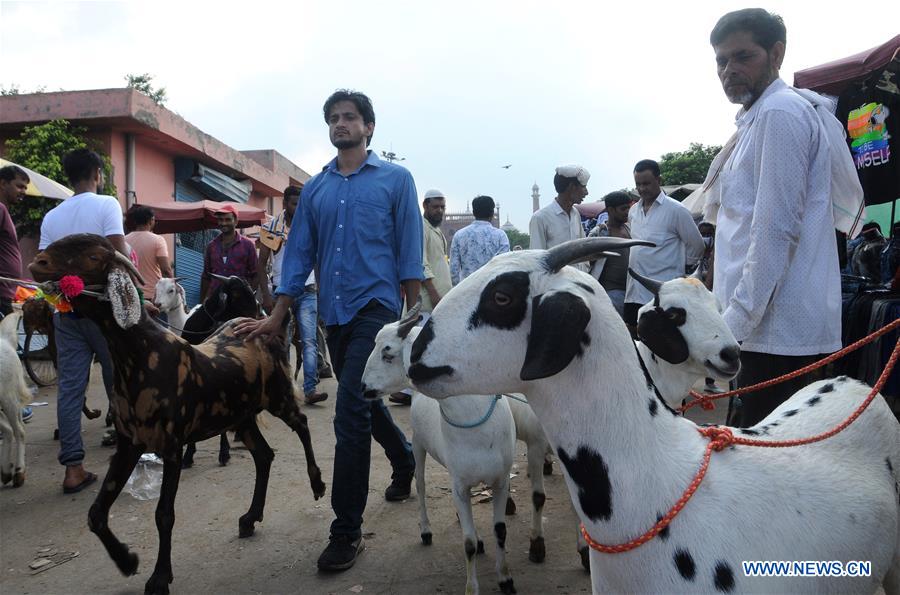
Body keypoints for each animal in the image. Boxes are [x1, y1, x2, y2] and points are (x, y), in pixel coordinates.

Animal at [30, 235, 326, 595]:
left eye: (93, 256)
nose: (39, 263)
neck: (143, 354)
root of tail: (260, 325)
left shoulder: (170, 444)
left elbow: (164, 514)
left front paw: (159, 577)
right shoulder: (130, 442)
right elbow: (96, 513)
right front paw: (127, 561)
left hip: (278, 396)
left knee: (302, 424)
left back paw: (317, 483)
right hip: (240, 416)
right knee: (264, 455)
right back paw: (250, 517)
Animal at [362, 308, 516, 595]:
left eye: (388, 353)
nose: (363, 388)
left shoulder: (500, 481)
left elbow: (500, 531)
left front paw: (505, 579)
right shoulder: (460, 484)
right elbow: (467, 543)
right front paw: (471, 588)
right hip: (418, 444)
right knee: (421, 485)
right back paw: (425, 530)